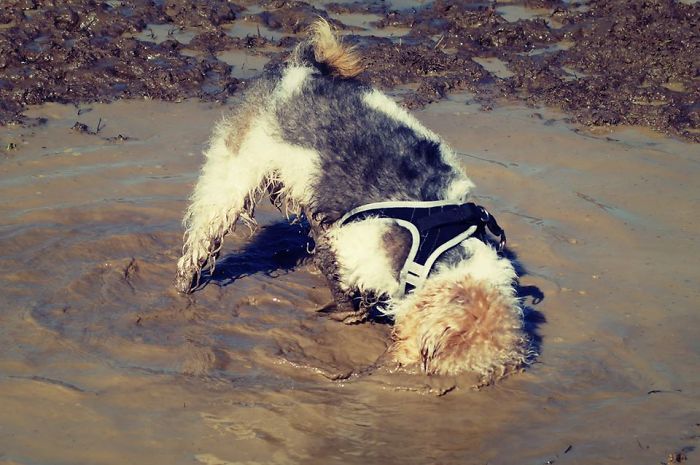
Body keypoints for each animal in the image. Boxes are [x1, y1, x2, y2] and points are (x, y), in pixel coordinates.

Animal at [175, 20, 532, 382]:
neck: (438, 244)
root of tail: (302, 69)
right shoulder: (350, 249)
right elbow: (344, 291)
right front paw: (345, 314)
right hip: (231, 183)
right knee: (200, 240)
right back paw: (185, 285)